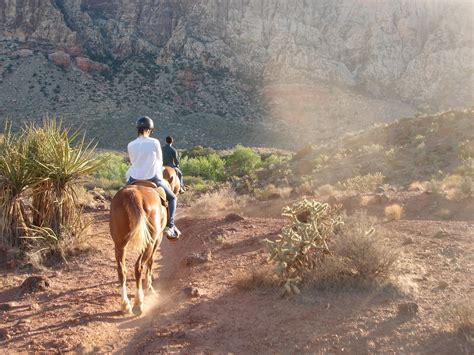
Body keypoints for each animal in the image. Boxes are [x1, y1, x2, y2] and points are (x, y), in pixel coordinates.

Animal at [109, 182, 167, 316]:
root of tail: (133, 193)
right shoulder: (158, 239)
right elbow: (151, 262)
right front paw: (149, 287)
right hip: (148, 243)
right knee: (139, 266)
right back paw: (138, 303)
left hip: (119, 244)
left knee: (121, 270)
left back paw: (125, 304)